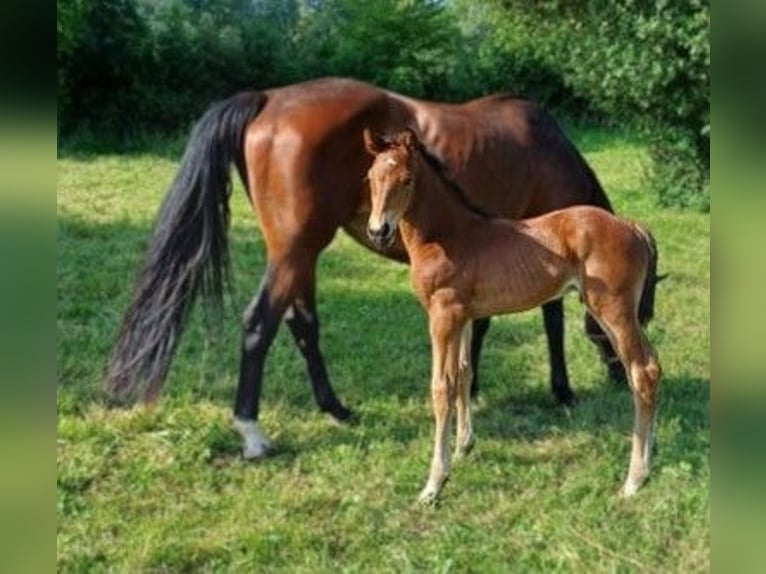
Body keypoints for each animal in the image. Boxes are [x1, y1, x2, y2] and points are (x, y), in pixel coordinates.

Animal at [106, 77, 654, 459]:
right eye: (638, 313)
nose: (618, 374)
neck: (548, 149)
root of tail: (267, 100)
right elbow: (550, 320)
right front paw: (561, 390)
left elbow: (483, 325)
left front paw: (472, 388)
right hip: (294, 252)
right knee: (259, 324)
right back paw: (253, 433)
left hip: (300, 254)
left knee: (303, 324)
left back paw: (336, 409)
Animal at [363, 128, 661, 503]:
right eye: (370, 177)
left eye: (406, 179)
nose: (378, 231)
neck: (448, 235)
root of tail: (632, 226)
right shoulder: (462, 317)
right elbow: (464, 372)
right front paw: (463, 446)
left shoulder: (442, 316)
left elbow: (441, 387)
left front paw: (433, 484)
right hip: (621, 314)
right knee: (652, 366)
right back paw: (648, 462)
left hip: (613, 311)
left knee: (642, 372)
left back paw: (633, 480)